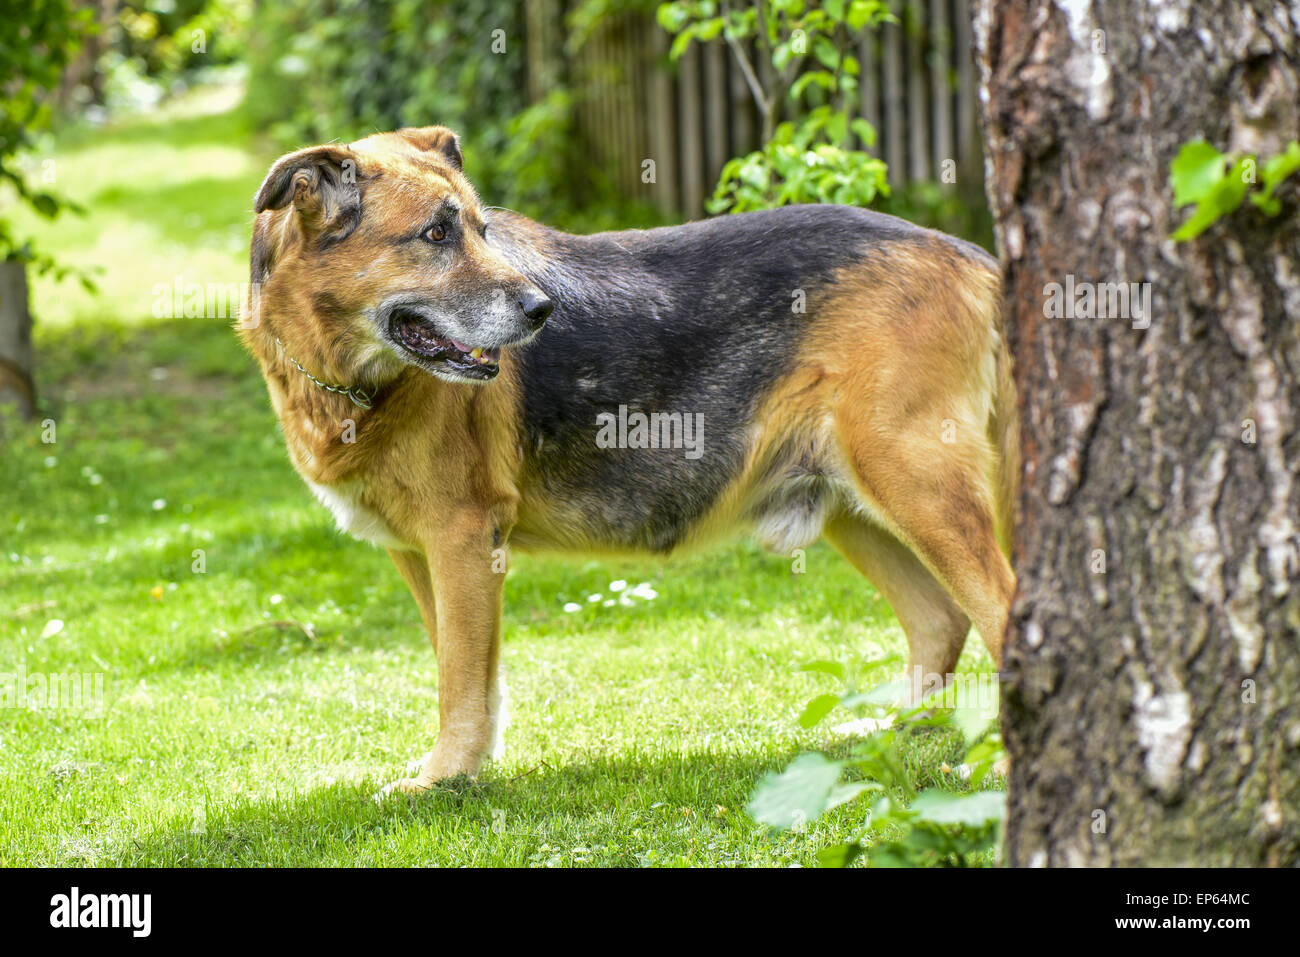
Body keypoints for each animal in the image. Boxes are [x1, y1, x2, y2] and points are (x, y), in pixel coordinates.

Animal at [239, 123, 1019, 790]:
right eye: (436, 234)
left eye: (481, 230)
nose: (542, 312)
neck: (341, 373)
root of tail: (975, 258)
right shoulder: (420, 551)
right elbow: (468, 675)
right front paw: (470, 767)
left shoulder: (460, 540)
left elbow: (458, 679)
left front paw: (444, 778)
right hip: (853, 502)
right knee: (940, 621)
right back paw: (890, 733)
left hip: (916, 484)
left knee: (1006, 611)